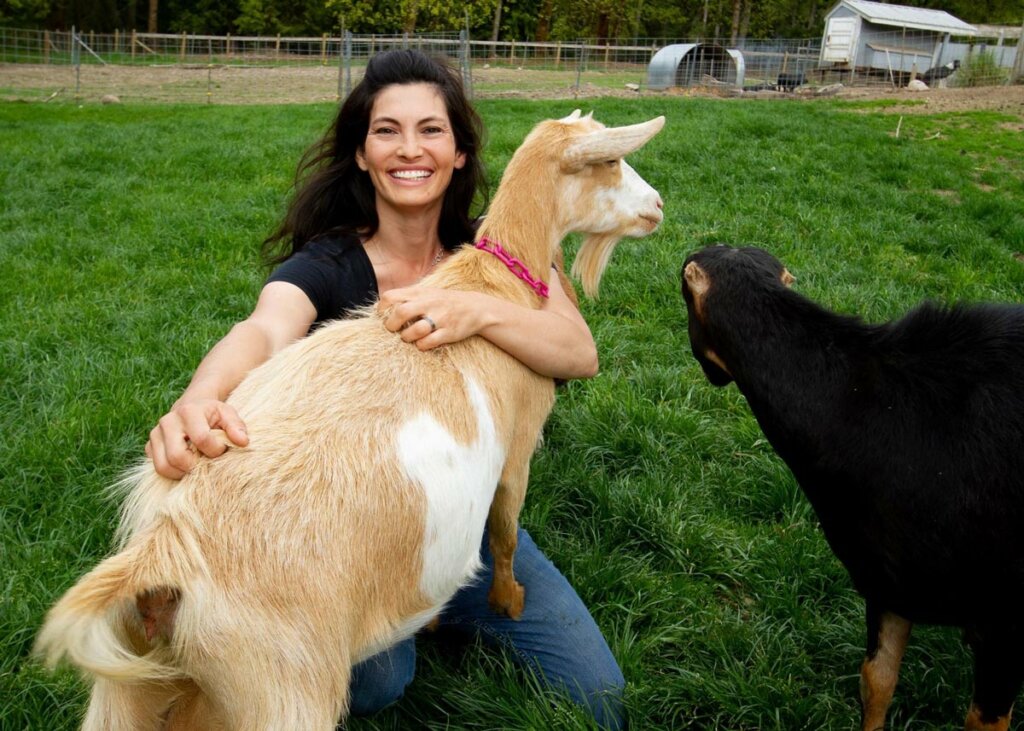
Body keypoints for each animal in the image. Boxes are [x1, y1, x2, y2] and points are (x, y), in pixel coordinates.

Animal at [37, 109, 663, 728]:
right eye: (611, 161)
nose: (657, 206)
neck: (494, 285)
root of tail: (162, 552)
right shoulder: (517, 449)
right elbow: (505, 533)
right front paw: (508, 602)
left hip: (138, 685)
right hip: (282, 685)